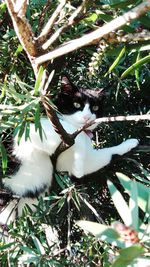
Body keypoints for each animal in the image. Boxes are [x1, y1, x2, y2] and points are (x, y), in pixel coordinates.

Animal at [0, 76, 138, 226]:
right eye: (76, 105)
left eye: (95, 108)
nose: (86, 118)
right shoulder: (32, 128)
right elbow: (73, 135)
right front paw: (78, 166)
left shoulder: (65, 164)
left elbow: (100, 157)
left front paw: (129, 143)